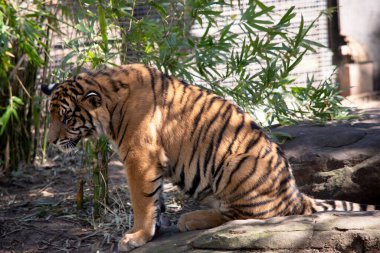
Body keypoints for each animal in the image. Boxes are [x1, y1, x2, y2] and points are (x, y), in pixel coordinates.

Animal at [40, 63, 378, 251]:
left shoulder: (140, 157)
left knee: (249, 217)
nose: (52, 141)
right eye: (51, 116)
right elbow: (155, 198)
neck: (109, 103)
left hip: (237, 164)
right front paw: (156, 227)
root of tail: (295, 193)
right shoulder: (151, 162)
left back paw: (191, 218)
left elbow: (141, 201)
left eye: (67, 118)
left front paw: (137, 236)